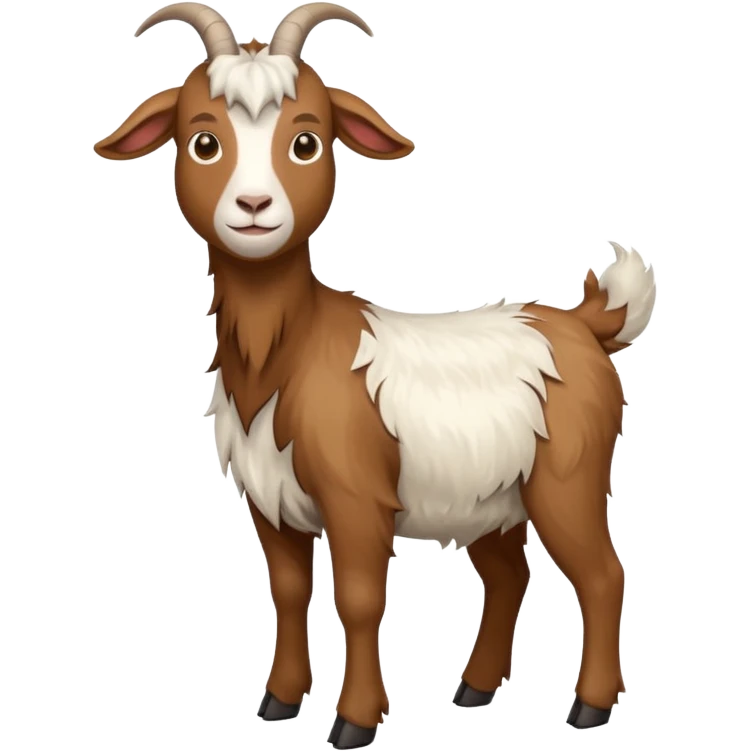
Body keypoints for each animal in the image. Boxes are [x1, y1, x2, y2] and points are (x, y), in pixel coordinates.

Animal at [94, 2, 656, 747]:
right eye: (203, 142)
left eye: (307, 143)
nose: (253, 208)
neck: (289, 354)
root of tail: (582, 322)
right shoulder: (271, 502)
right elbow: (289, 592)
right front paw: (278, 701)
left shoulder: (356, 497)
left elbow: (359, 600)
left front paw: (353, 722)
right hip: (490, 498)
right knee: (509, 576)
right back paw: (475, 689)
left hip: (569, 477)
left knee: (601, 575)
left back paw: (588, 706)